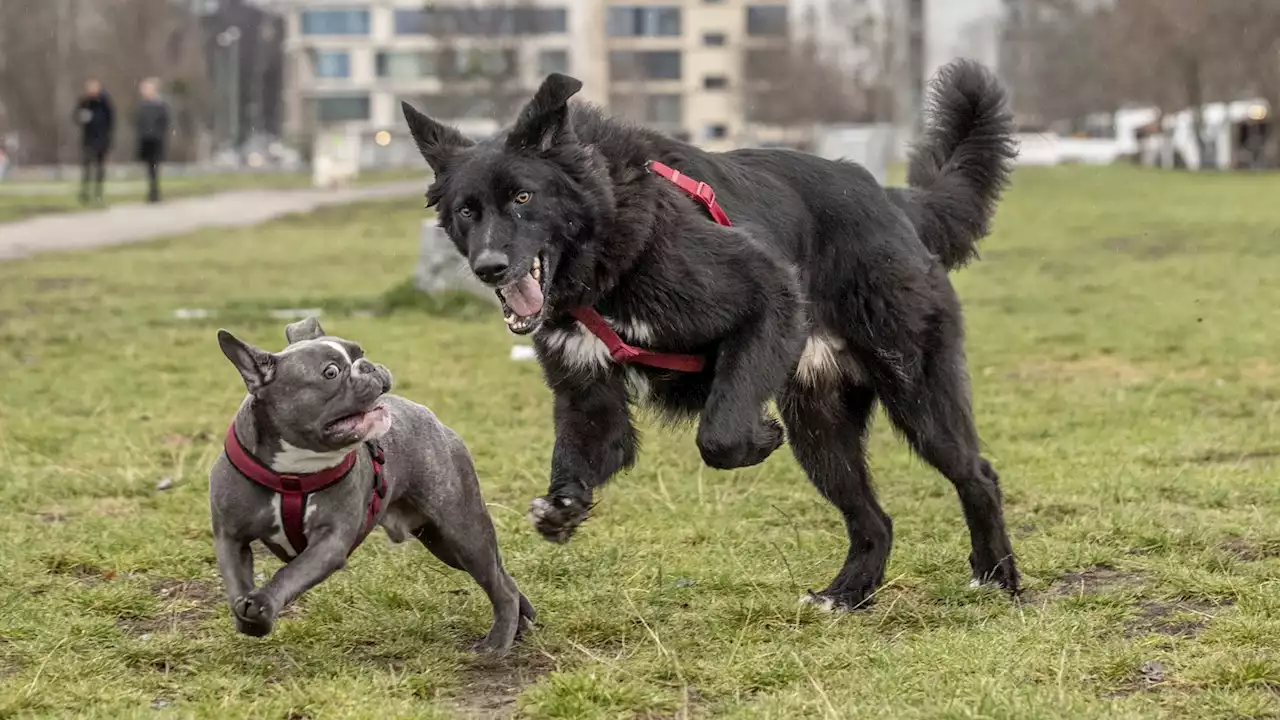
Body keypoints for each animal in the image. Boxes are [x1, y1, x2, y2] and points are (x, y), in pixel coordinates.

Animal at [404, 58, 1024, 607]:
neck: (605, 247)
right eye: (467, 210)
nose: (489, 268)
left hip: (914, 390)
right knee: (874, 519)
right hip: (821, 426)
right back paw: (847, 595)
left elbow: (720, 435)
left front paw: (759, 438)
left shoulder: (767, 293)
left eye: (523, 197)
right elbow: (585, 454)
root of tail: (894, 201)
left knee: (977, 476)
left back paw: (996, 576)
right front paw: (562, 508)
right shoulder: (587, 394)